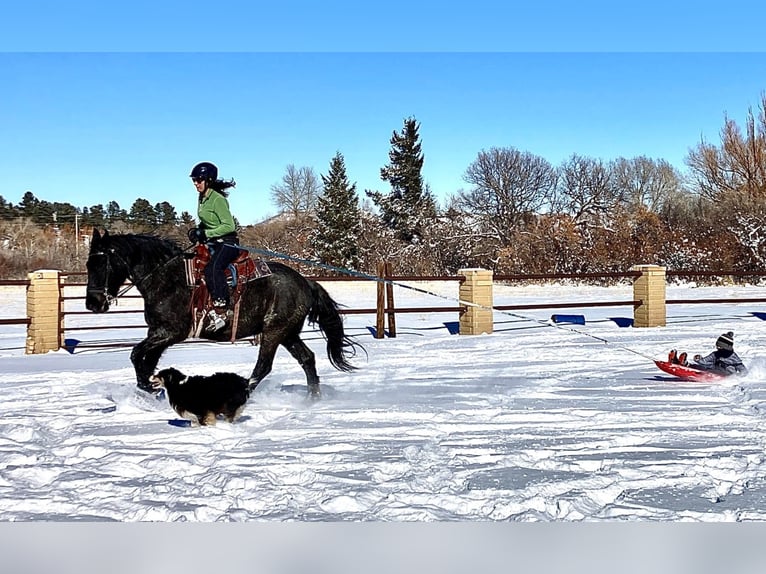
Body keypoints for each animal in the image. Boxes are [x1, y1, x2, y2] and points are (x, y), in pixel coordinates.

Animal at [85, 230, 362, 396]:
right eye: (88, 264)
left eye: (102, 263)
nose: (93, 304)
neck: (167, 279)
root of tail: (306, 283)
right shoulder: (158, 333)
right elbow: (146, 359)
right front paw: (150, 389)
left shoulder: (170, 332)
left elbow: (136, 354)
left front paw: (148, 387)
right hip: (288, 333)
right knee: (307, 359)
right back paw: (312, 399)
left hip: (274, 332)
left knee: (263, 366)